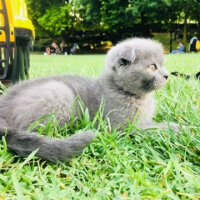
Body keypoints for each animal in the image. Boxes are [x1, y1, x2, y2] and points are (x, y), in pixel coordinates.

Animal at [0, 38, 178, 162]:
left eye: (162, 65)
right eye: (152, 67)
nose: (167, 75)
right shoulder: (122, 127)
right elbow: (153, 128)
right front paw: (178, 128)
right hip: (60, 92)